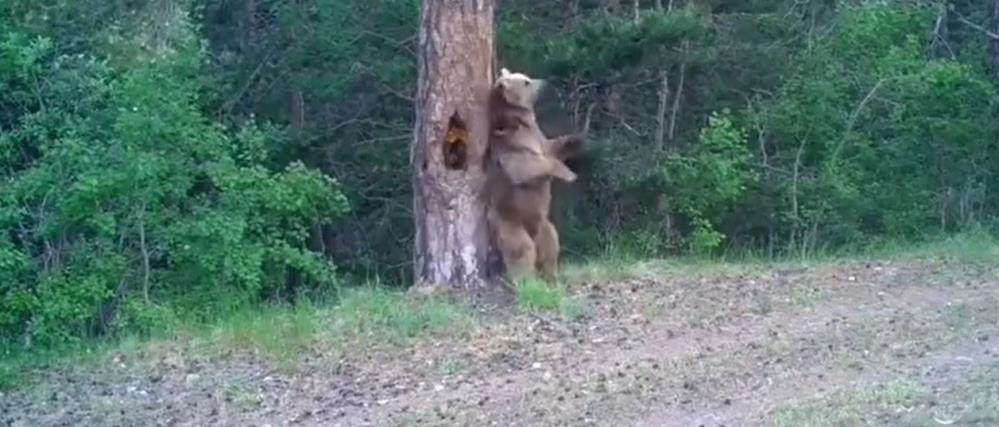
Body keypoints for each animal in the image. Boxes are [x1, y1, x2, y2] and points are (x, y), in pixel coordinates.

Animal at [486, 67, 584, 284]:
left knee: (551, 243)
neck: (522, 123)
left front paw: (575, 140)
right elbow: (526, 167)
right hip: (508, 223)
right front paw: (569, 174)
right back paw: (526, 280)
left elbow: (552, 146)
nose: (545, 82)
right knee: (522, 251)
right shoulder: (511, 146)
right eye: (526, 82)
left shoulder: (538, 137)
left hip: (544, 225)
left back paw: (552, 276)